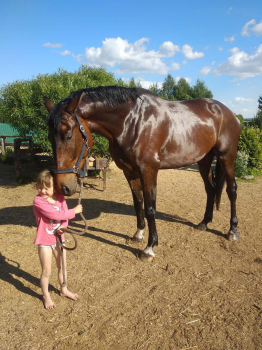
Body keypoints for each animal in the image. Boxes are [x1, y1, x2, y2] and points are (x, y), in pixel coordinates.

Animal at [43, 85, 242, 262]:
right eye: (50, 138)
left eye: (68, 135)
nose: (63, 186)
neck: (132, 122)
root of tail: (230, 113)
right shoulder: (130, 171)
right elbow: (138, 203)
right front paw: (138, 235)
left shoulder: (149, 170)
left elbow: (150, 208)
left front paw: (149, 247)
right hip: (204, 160)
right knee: (210, 189)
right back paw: (204, 223)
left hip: (226, 157)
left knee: (231, 190)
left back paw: (232, 231)